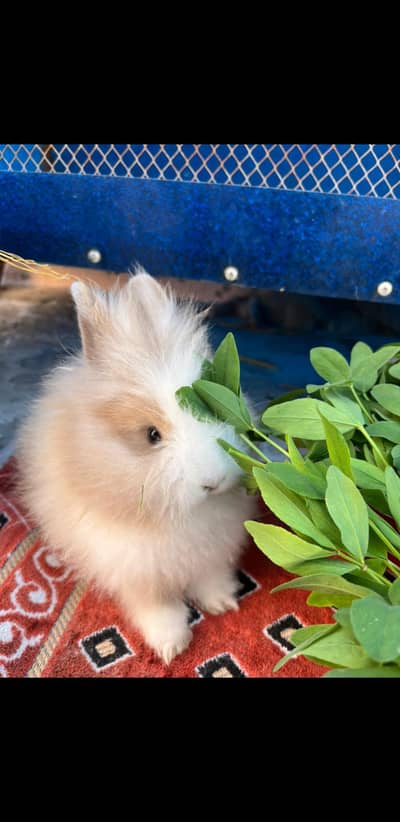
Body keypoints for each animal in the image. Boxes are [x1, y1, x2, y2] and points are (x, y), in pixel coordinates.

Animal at [16, 270, 258, 664]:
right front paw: (171, 644)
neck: (181, 518)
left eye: (210, 407)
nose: (212, 481)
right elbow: (157, 606)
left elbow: (209, 577)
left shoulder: (212, 550)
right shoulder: (136, 570)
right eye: (151, 435)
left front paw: (222, 603)